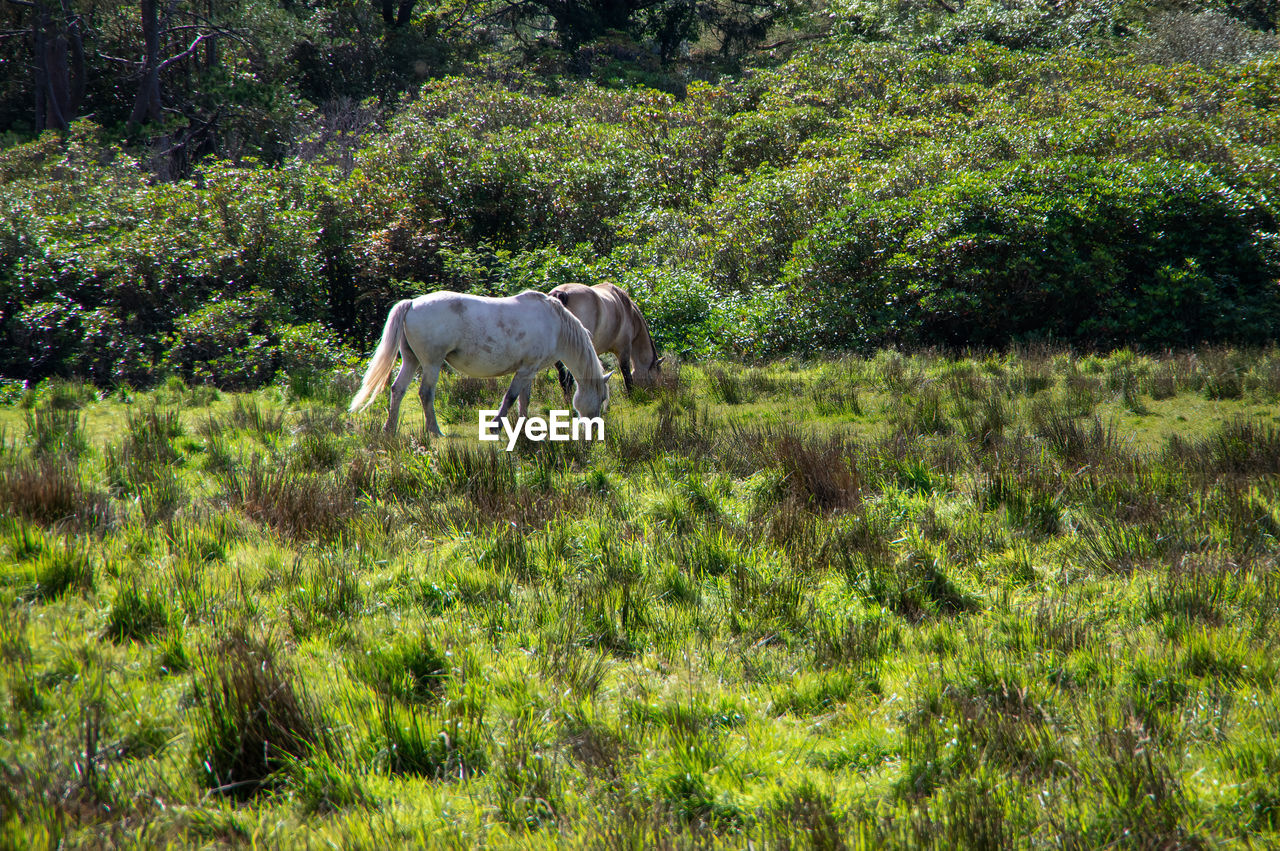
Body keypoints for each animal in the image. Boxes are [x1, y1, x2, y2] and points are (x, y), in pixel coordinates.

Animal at [348, 291, 611, 437]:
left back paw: (389, 429)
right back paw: (435, 431)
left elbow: (524, 400)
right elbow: (510, 397)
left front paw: (525, 428)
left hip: (411, 361)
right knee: (425, 393)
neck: (554, 324)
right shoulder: (525, 371)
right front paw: (495, 426)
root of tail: (412, 303)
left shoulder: (529, 371)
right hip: (432, 363)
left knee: (398, 390)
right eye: (602, 398)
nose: (594, 428)